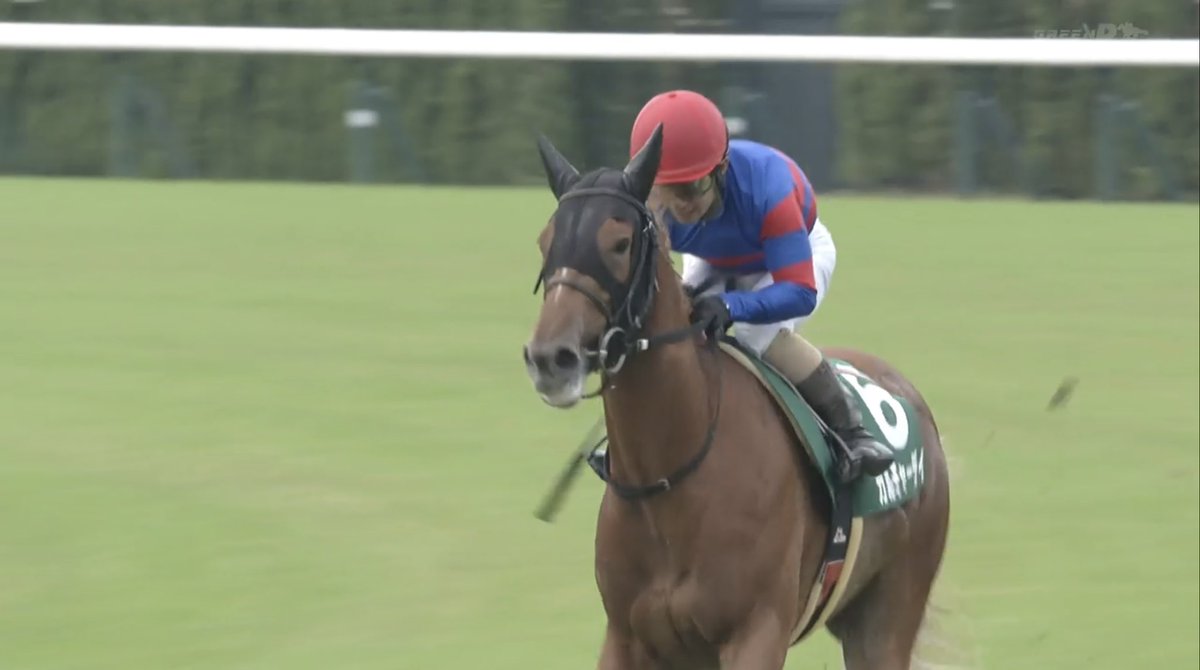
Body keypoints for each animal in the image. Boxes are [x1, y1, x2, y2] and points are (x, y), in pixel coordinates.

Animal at [521, 124, 951, 670]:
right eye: (546, 241)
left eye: (619, 243)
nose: (550, 358)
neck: (669, 477)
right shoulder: (627, 637)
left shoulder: (757, 632)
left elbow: (793, 288)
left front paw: (715, 309)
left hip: (888, 615)